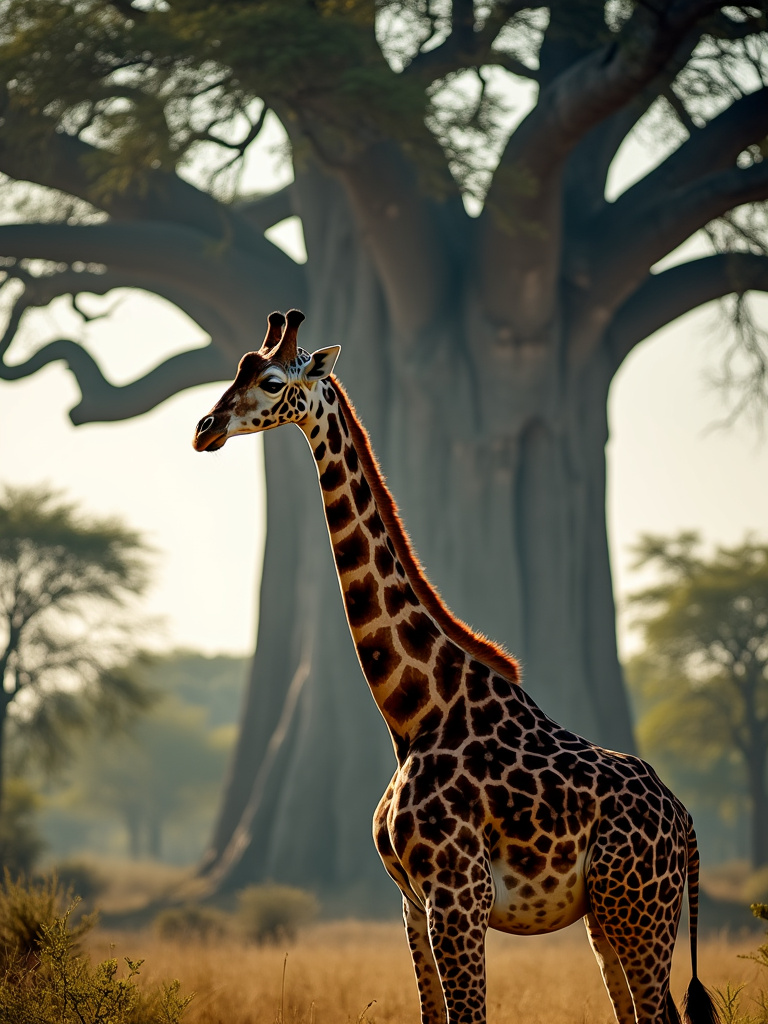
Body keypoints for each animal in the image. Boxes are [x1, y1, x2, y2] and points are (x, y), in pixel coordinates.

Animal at [193, 309, 720, 1024]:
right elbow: (432, 1013)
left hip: (638, 909)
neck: (416, 711)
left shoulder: (458, 895)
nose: (205, 429)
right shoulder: (412, 902)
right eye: (235, 372)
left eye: (272, 381)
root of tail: (684, 821)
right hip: (607, 919)